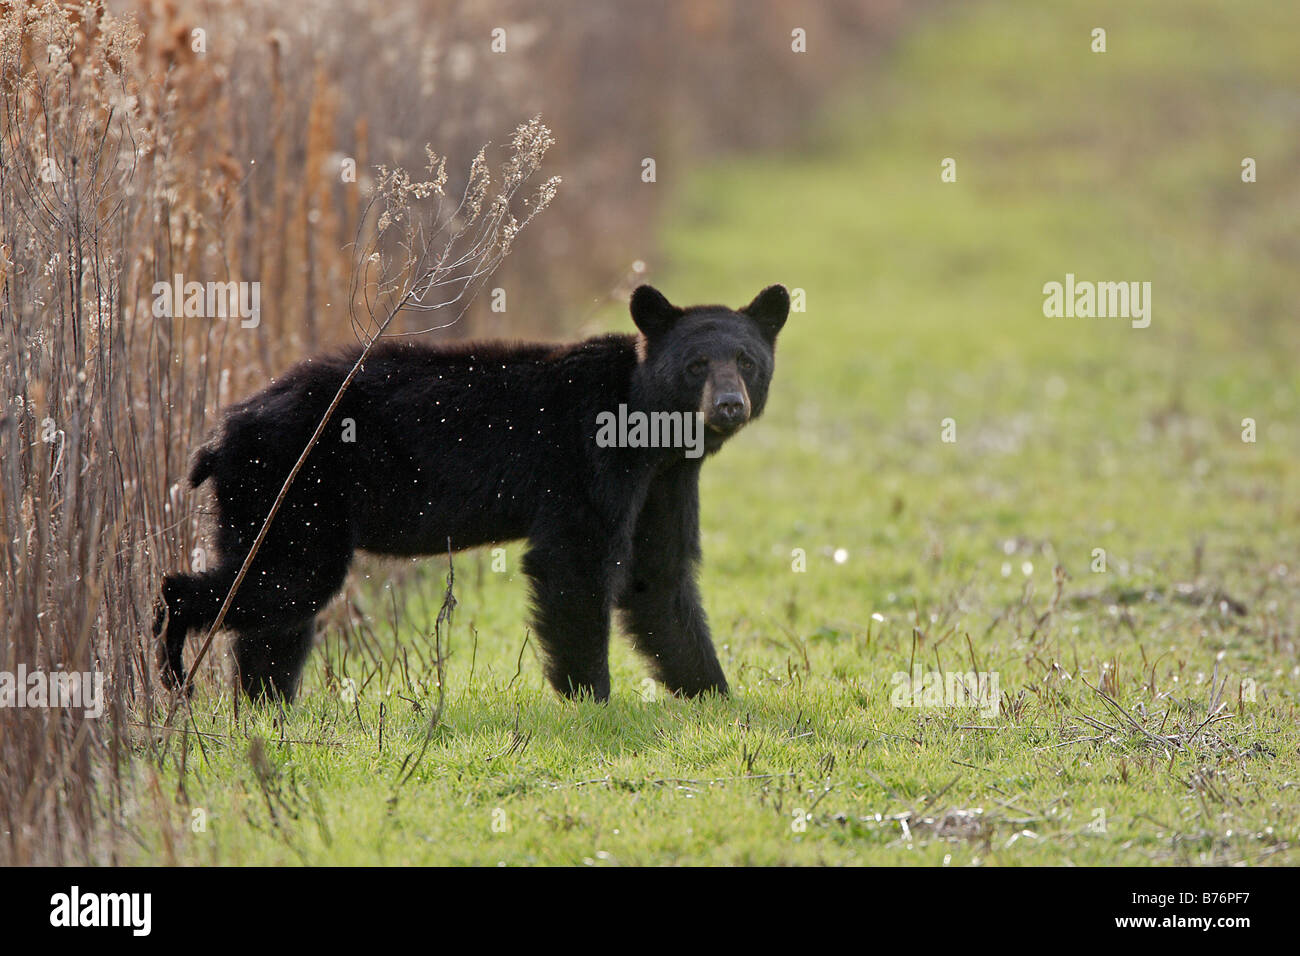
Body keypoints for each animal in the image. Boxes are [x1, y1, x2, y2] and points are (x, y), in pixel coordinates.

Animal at [155, 283, 790, 703]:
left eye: (747, 360)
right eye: (697, 364)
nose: (729, 405)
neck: (648, 428)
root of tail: (220, 433)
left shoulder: (665, 479)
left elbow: (656, 574)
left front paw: (714, 694)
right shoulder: (591, 459)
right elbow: (576, 562)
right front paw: (591, 697)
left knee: (277, 617)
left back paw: (267, 705)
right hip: (290, 488)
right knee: (277, 582)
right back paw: (173, 661)